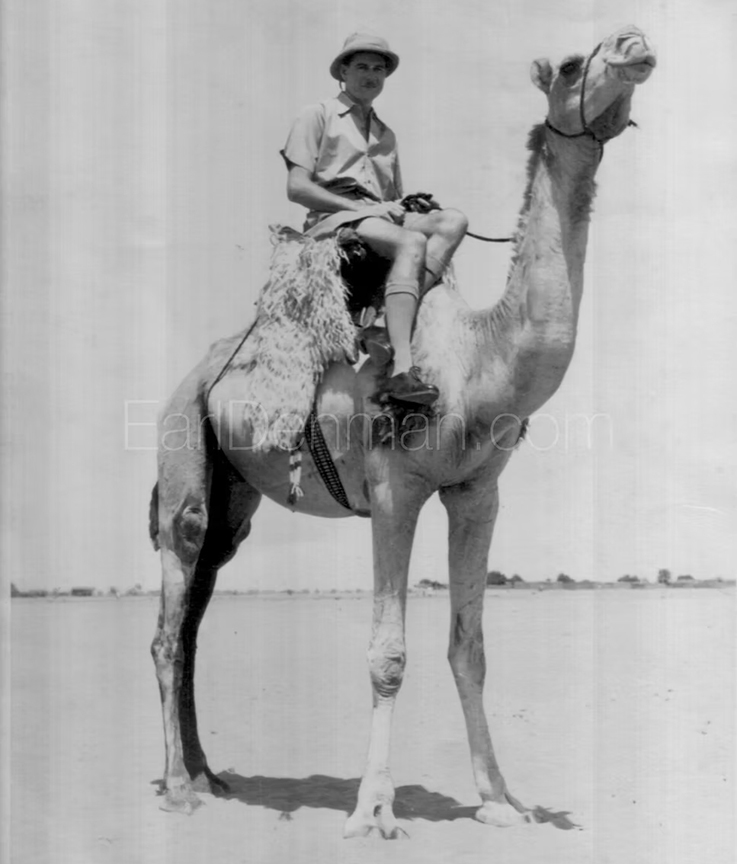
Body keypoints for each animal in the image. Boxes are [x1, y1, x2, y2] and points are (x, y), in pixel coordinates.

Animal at [150, 26, 656, 838]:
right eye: (573, 64)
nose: (632, 43)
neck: (478, 362)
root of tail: (194, 375)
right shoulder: (393, 490)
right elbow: (387, 654)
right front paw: (371, 812)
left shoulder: (477, 493)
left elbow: (470, 649)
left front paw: (500, 801)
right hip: (182, 454)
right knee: (171, 616)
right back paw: (175, 788)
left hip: (235, 497)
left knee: (196, 615)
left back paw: (209, 774)